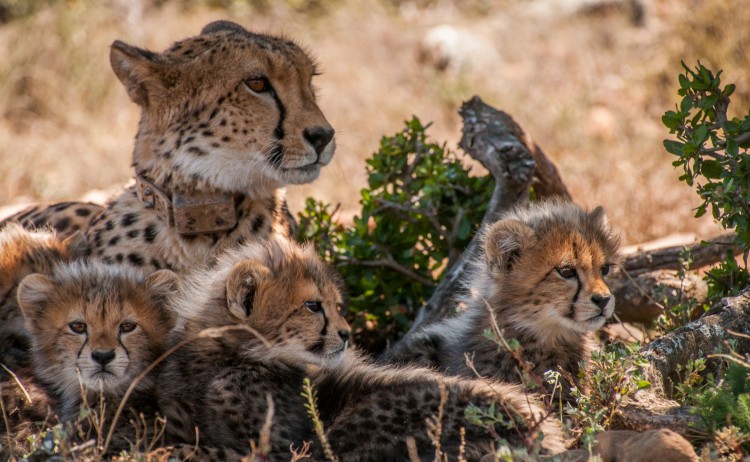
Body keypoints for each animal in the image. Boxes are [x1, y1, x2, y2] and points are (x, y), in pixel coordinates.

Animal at [158, 236, 564, 461]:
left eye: (335, 304)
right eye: (312, 305)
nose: (346, 334)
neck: (236, 354)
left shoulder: (286, 449)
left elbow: (209, 450)